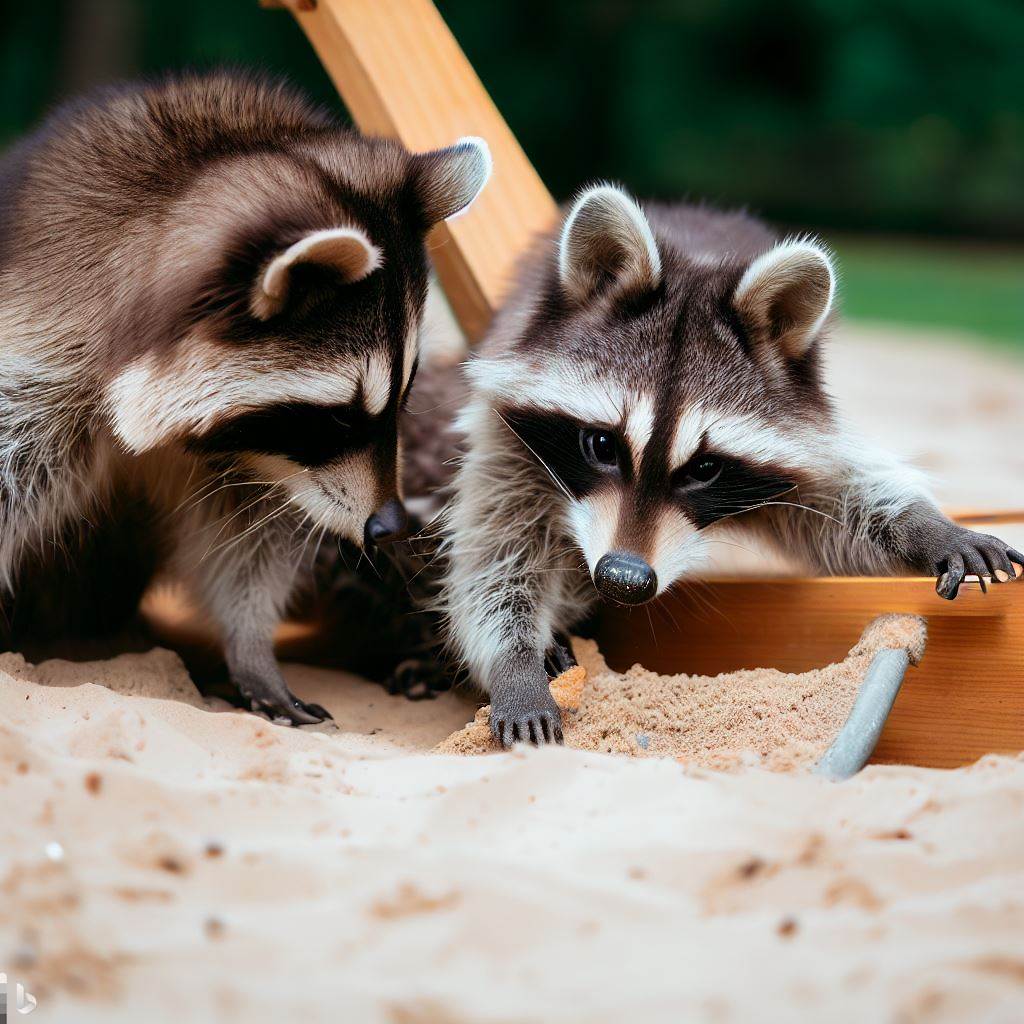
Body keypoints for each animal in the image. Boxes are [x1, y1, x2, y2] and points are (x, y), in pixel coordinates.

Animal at [0, 68, 491, 724]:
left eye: (402, 401)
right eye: (339, 421)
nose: (389, 527)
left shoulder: (270, 469)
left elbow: (253, 543)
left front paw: (251, 645)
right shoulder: (42, 352)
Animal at [444, 182, 1019, 745]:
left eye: (704, 470)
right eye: (603, 446)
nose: (624, 579)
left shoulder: (796, 439)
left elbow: (840, 501)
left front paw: (925, 527)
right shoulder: (510, 437)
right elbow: (497, 556)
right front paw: (515, 661)